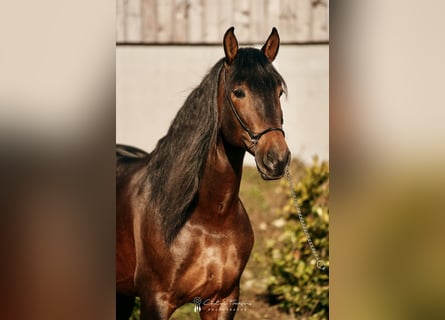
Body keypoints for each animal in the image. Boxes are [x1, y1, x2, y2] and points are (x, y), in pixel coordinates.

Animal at [116, 26, 290, 318]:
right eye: (238, 92)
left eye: (278, 92)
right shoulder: (155, 301)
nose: (277, 159)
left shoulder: (224, 299)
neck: (209, 218)